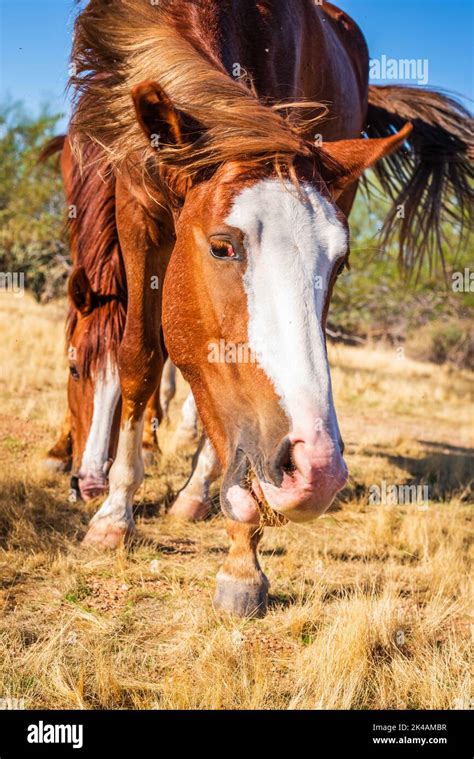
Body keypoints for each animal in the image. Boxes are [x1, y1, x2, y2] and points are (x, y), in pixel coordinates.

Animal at [68, 0, 472, 616]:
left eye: (341, 263)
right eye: (221, 246)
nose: (316, 472)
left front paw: (241, 553)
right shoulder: (135, 210)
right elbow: (140, 358)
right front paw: (114, 516)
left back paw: (202, 494)